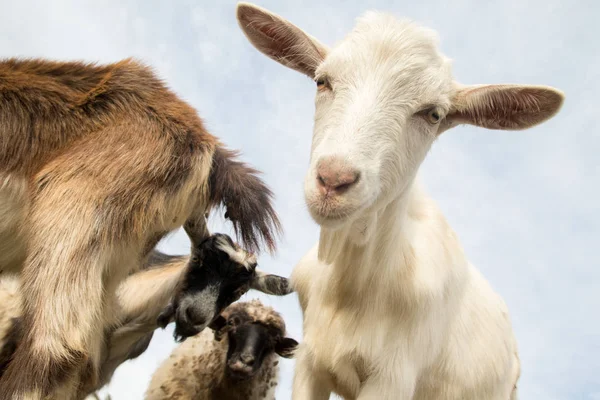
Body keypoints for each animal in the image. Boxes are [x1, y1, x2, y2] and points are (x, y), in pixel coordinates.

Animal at [237, 3, 564, 400]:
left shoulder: (394, 375)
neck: (352, 289)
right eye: (322, 81)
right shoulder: (308, 362)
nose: (333, 179)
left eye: (433, 114)